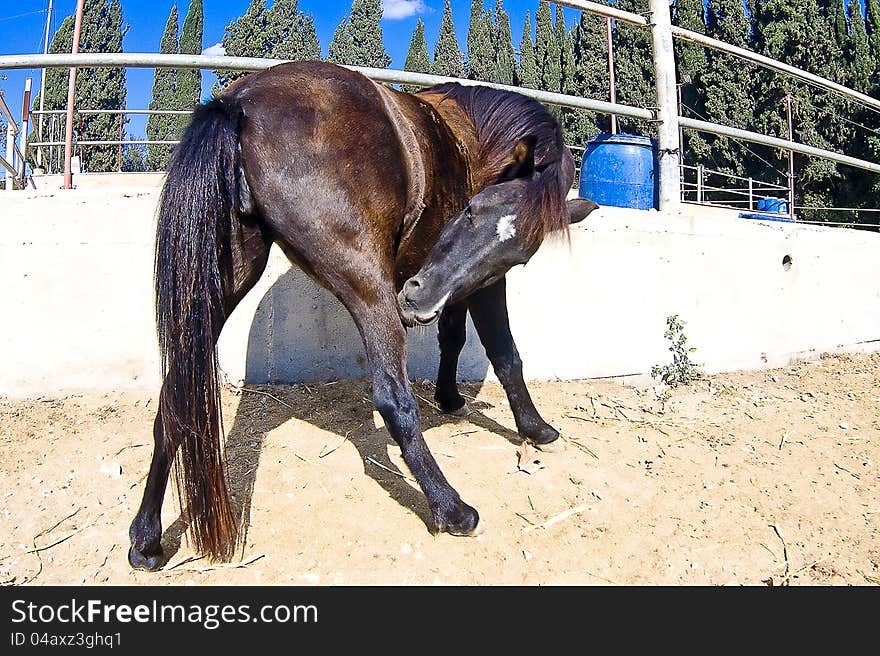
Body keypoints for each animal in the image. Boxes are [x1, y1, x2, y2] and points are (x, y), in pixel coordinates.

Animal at [129, 59, 600, 568]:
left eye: (519, 255)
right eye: (473, 210)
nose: (416, 298)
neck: (472, 138)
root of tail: (241, 101)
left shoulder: (461, 284)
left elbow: (453, 337)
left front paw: (450, 396)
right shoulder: (484, 288)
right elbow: (506, 356)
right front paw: (535, 428)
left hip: (225, 284)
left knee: (175, 399)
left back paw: (146, 538)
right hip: (368, 288)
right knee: (393, 399)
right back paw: (452, 507)